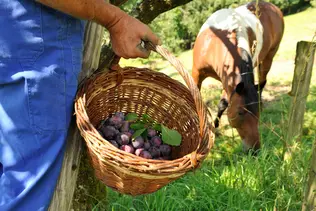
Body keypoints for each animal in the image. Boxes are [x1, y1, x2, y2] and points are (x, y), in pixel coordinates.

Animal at [191, 0, 286, 152]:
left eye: (257, 113)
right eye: (241, 112)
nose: (255, 150)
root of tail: (273, 7)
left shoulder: (230, 83)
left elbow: (223, 103)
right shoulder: (197, 73)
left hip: (269, 57)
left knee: (262, 80)